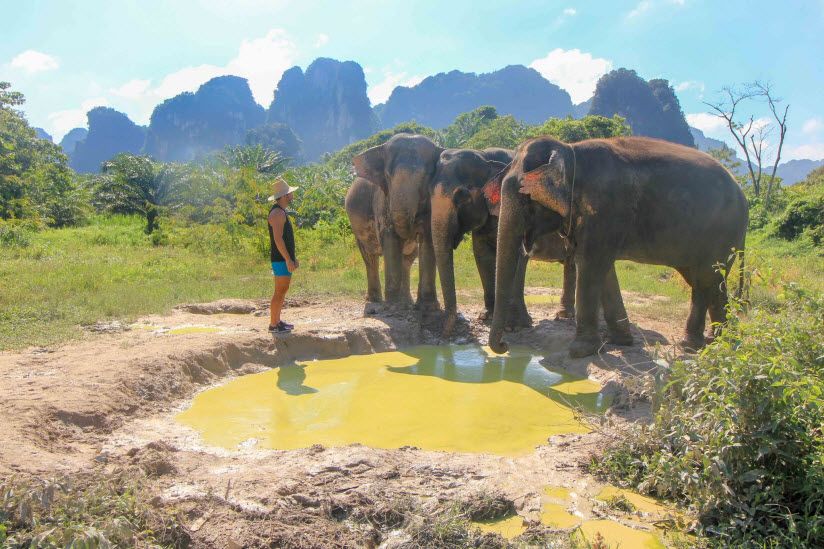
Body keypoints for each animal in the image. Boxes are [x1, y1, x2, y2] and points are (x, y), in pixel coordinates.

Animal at [349, 133, 444, 309]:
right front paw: (393, 306)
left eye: (425, 177)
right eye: (387, 176)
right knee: (370, 258)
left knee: (407, 259)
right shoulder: (382, 200)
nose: (411, 234)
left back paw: (407, 301)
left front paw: (429, 307)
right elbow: (389, 238)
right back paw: (376, 301)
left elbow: (428, 239)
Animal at [429, 147, 577, 335]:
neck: (485, 155)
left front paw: (513, 326)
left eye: (461, 196)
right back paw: (564, 315)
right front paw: (486, 317)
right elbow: (482, 255)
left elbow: (518, 255)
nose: (446, 333)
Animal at [488, 136, 748, 358]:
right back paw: (709, 342)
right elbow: (602, 269)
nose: (504, 345)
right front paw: (619, 341)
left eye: (525, 196)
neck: (570, 150)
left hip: (722, 233)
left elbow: (590, 263)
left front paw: (580, 351)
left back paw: (709, 344)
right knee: (706, 280)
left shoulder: (605, 208)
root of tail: (741, 193)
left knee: (707, 278)